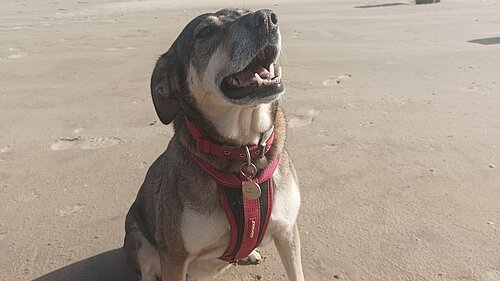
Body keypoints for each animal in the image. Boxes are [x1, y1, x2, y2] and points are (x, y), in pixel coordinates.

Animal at [124, 8, 304, 280]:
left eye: (246, 11)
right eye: (205, 32)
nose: (267, 18)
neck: (243, 151)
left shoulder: (287, 231)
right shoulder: (175, 256)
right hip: (138, 237)